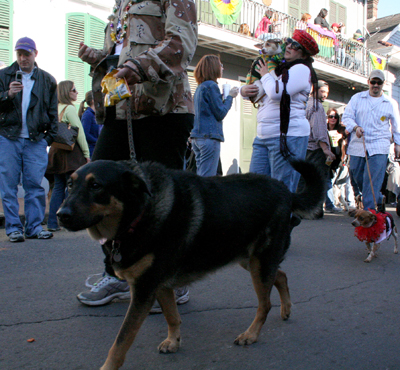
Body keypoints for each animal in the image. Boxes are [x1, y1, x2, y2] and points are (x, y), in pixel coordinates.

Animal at [57, 160, 324, 370]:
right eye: (69, 185)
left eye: (96, 186)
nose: (61, 215)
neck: (140, 213)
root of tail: (286, 191)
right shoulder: (160, 286)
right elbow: (172, 316)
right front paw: (174, 341)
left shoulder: (143, 290)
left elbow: (121, 341)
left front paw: (108, 366)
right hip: (250, 260)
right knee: (281, 275)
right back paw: (286, 309)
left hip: (259, 262)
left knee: (265, 303)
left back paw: (251, 335)